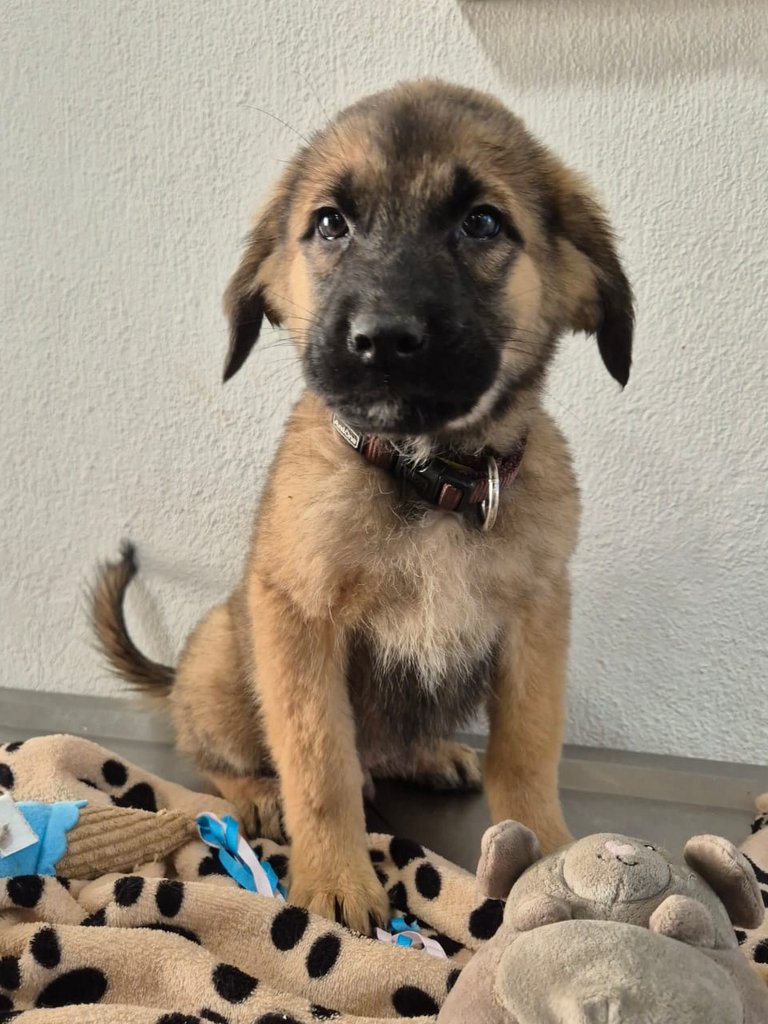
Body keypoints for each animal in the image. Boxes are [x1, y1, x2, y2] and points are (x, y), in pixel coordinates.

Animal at [93, 80, 633, 934]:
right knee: (208, 751)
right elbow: (320, 766)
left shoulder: (536, 622)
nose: (381, 338)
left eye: (482, 222)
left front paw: (548, 853)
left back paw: (430, 753)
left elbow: (527, 751)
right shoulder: (298, 619)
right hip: (221, 653)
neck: (428, 477)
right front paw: (336, 877)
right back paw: (256, 793)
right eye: (328, 223)